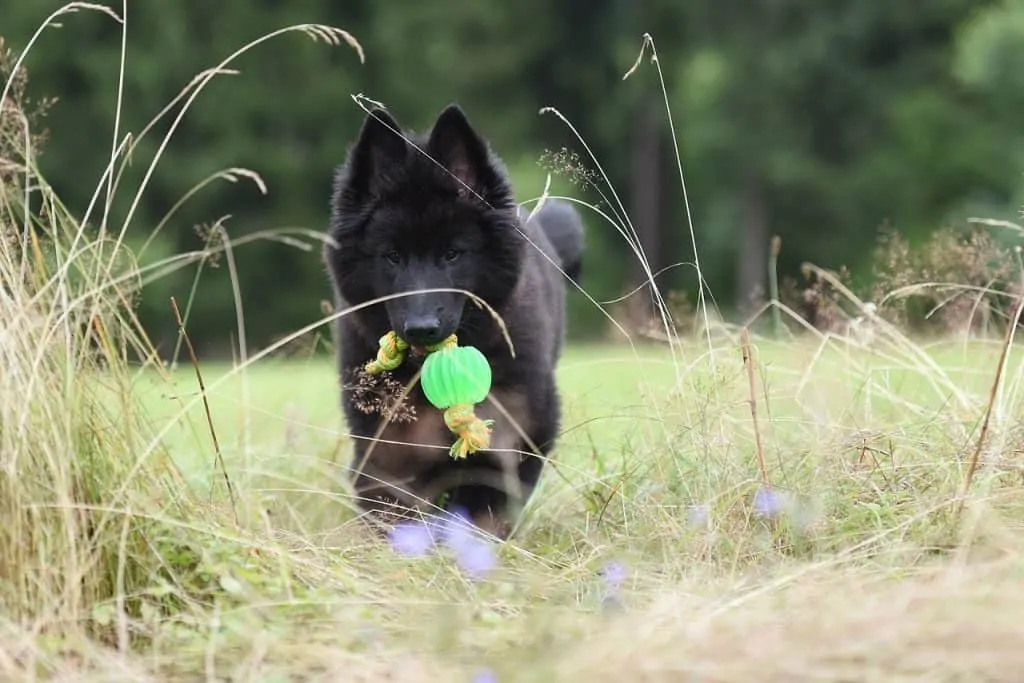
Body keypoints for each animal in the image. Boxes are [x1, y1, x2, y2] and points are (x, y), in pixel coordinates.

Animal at [323, 102, 589, 540]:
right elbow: (392, 509)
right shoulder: (386, 447)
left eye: (452, 253)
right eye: (392, 256)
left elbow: (484, 505)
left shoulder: (514, 434)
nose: (421, 328)